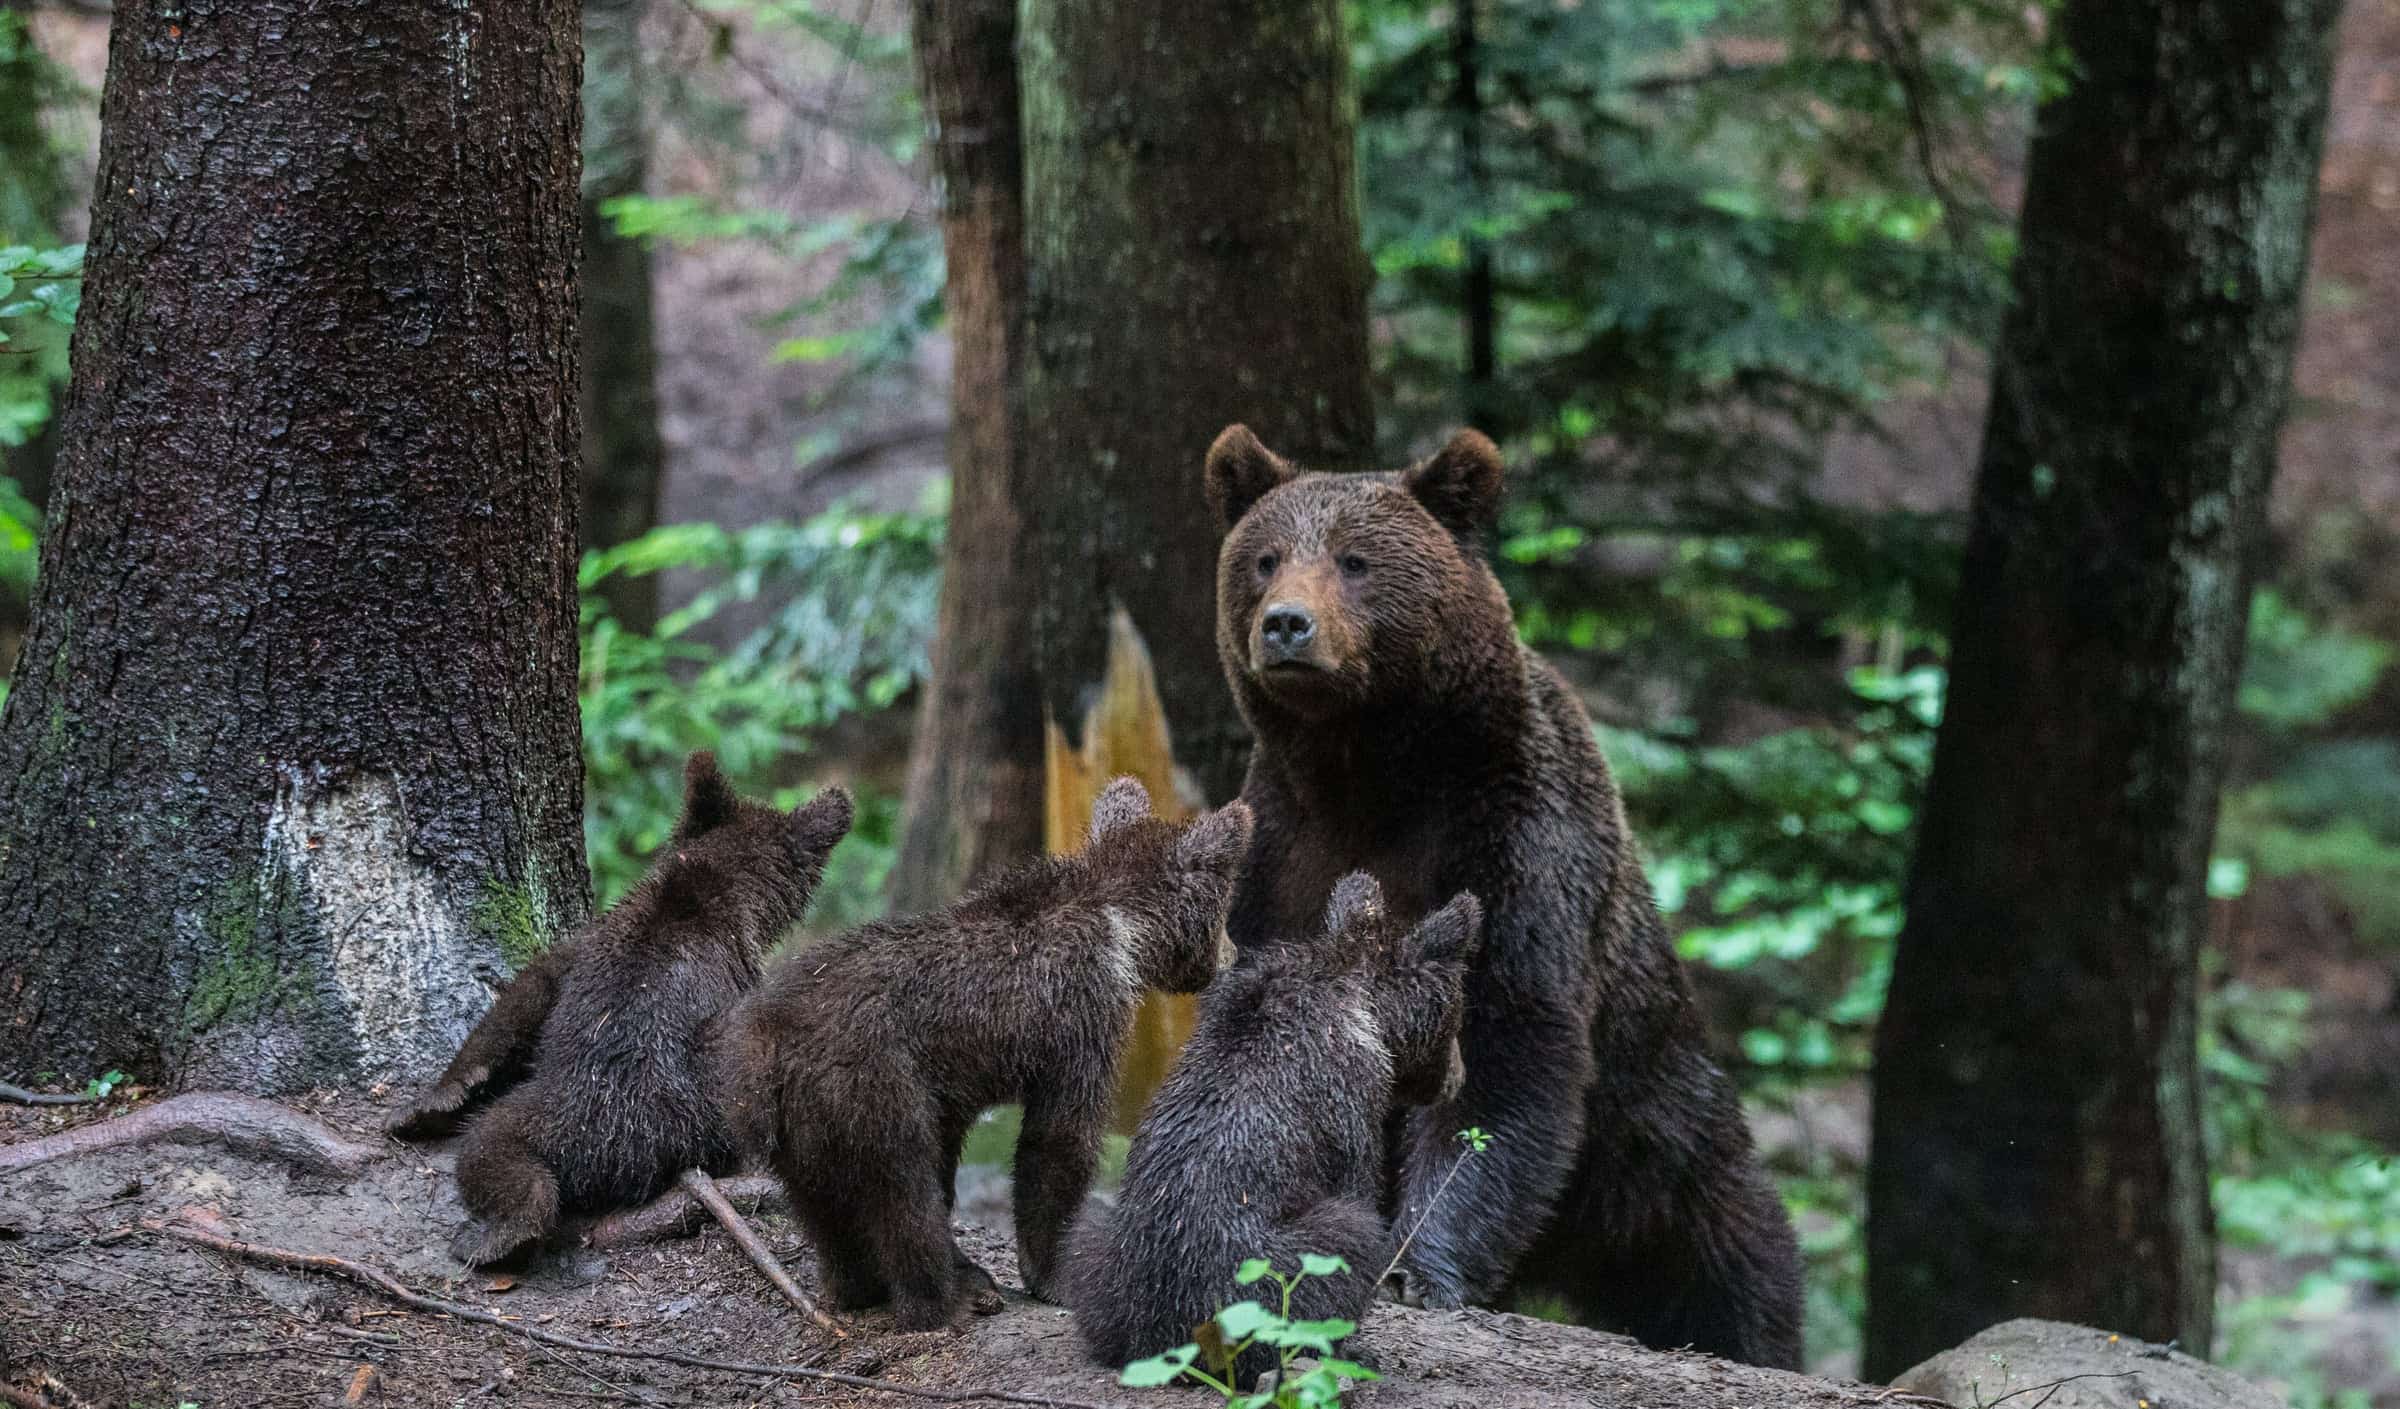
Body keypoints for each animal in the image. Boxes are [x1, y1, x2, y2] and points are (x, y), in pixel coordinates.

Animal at [388, 752, 854, 1266]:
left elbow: (521, 997)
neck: (707, 887)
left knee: (490, 1148)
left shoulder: (578, 949)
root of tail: (617, 1152)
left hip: (550, 1115)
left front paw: (428, 1101)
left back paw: (502, 1230)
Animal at [714, 777, 1253, 1331]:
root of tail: (767, 1043)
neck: (1122, 928)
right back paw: (949, 1297)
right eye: (1225, 907)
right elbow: (1058, 1141)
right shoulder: (1082, 1017)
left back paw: (857, 1288)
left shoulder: (950, 1089)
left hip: (791, 1124)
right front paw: (1054, 1275)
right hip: (873, 1088)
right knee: (905, 1195)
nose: (1233, 953)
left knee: (822, 1207)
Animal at [1067, 872, 1481, 1390]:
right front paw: (1357, 1345)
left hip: (1105, 1249)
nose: (1459, 1076)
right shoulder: (1348, 1106)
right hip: (1269, 1276)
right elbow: (1357, 1184)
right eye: (1458, 1014)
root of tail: (1175, 1339)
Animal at [1201, 423, 1805, 1368]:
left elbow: (1500, 1045)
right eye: (1264, 559)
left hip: (1653, 1129)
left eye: (1355, 559)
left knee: (1727, 1254)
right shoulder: (1282, 852)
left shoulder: (1509, 844)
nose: (1286, 624)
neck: (1369, 778)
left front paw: (1417, 1265)